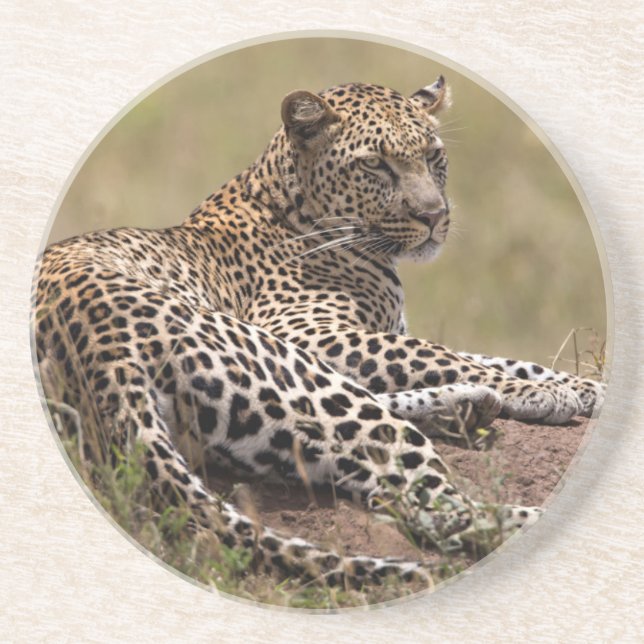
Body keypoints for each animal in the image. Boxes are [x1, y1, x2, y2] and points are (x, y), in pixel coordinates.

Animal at [33, 76, 605, 594]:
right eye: (375, 164)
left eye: (433, 156)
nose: (434, 217)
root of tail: (101, 350)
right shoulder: (310, 331)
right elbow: (438, 354)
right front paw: (545, 393)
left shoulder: (369, 332)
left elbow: (496, 357)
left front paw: (584, 388)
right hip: (280, 364)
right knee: (439, 510)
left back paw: (466, 407)